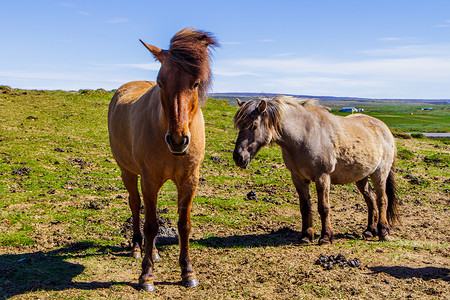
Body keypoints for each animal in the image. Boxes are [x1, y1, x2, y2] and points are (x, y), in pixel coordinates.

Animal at [106, 28, 217, 290]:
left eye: (195, 83)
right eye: (160, 82)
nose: (178, 140)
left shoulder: (189, 181)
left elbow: (183, 225)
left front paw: (187, 272)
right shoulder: (149, 180)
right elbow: (151, 225)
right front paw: (146, 275)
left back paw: (154, 252)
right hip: (128, 172)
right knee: (135, 205)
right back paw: (138, 247)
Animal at [234, 96, 400, 246]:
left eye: (253, 126)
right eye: (240, 125)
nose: (238, 157)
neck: (304, 135)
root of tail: (384, 129)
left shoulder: (322, 177)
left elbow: (323, 207)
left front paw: (325, 237)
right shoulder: (298, 179)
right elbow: (305, 207)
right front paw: (306, 236)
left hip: (380, 173)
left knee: (382, 199)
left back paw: (383, 232)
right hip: (361, 177)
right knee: (371, 199)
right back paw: (370, 231)